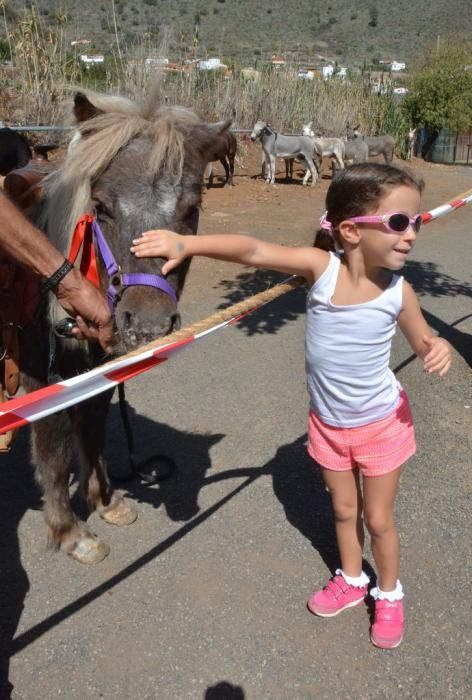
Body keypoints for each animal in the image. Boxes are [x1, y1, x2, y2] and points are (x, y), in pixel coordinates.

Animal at [21, 91, 231, 564]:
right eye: (99, 207)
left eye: (192, 208)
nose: (148, 325)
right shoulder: (42, 378)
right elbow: (54, 453)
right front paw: (69, 531)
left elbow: (93, 429)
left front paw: (105, 499)